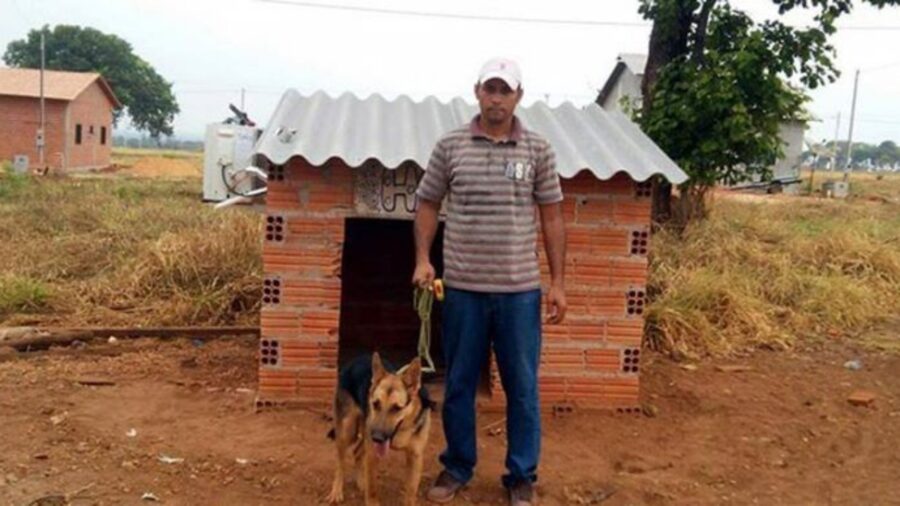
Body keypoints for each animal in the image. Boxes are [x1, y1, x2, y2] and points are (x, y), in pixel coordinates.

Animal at [326, 354, 436, 506]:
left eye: (397, 408)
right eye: (375, 404)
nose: (377, 437)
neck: (402, 429)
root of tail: (355, 361)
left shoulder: (415, 457)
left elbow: (411, 492)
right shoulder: (373, 453)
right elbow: (372, 488)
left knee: (357, 453)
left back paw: (360, 482)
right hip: (348, 432)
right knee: (340, 463)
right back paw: (336, 491)